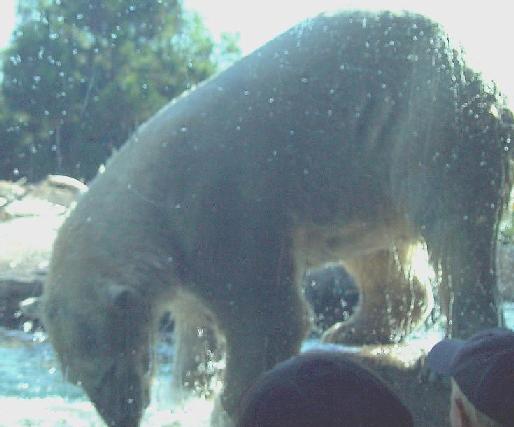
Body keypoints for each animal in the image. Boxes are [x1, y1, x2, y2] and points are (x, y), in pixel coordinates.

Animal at [42, 10, 510, 427]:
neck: (150, 196)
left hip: (432, 115)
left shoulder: (219, 203)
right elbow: (197, 325)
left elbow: (269, 317)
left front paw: (225, 409)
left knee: (455, 231)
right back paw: (351, 329)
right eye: (76, 378)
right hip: (368, 175)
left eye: (104, 368)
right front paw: (184, 396)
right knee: (379, 253)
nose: (123, 417)